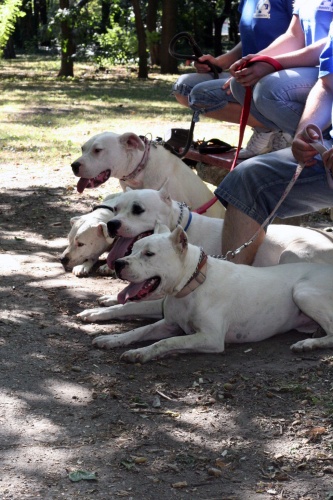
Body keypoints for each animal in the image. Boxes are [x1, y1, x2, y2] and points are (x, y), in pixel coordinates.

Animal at [76, 186, 332, 322]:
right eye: (116, 209)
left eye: (138, 209)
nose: (112, 224)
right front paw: (108, 299)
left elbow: (130, 305)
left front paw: (97, 312)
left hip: (291, 253)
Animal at [91, 225, 333, 362]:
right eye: (131, 249)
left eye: (149, 254)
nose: (118, 263)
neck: (192, 285)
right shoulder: (169, 323)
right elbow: (139, 331)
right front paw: (114, 339)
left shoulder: (211, 338)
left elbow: (168, 342)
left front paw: (142, 353)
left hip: (302, 292)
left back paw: (308, 344)